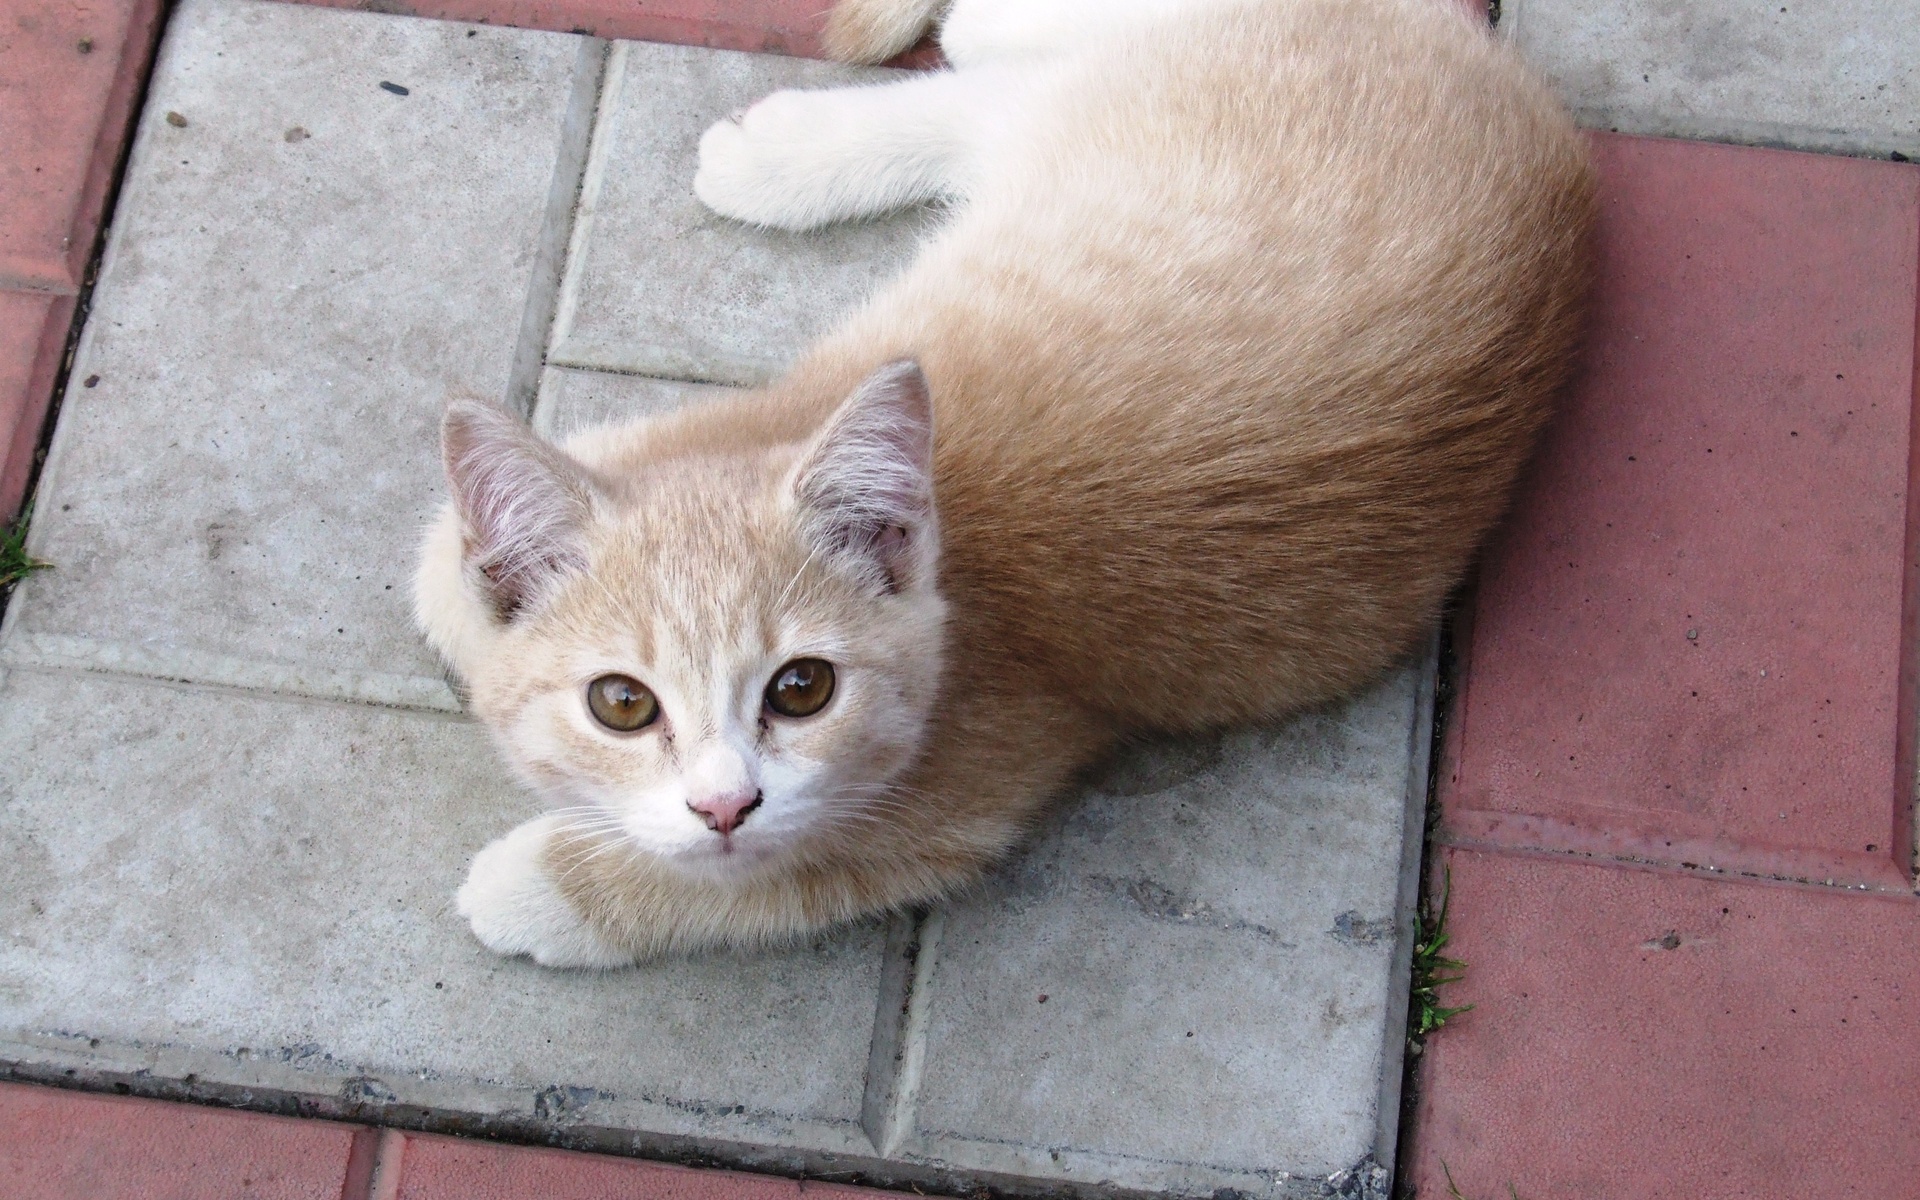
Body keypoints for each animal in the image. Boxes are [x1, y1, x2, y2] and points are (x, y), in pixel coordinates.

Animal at [416, 0, 1589, 963]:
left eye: (802, 690)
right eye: (623, 703)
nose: (723, 805)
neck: (954, 554)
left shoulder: (956, 803)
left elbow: (759, 881)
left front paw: (543, 884)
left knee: (1004, 88)